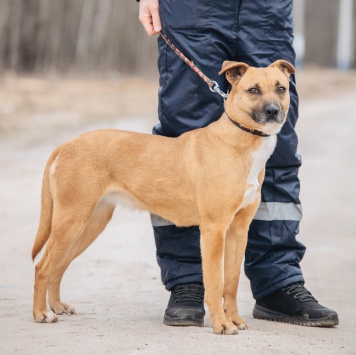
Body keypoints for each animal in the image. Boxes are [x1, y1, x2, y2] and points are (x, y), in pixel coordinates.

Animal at [32, 59, 294, 336]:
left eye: (281, 88)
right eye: (253, 90)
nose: (273, 111)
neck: (239, 143)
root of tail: (67, 144)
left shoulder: (238, 230)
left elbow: (231, 283)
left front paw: (234, 320)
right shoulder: (214, 230)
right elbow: (215, 283)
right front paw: (221, 324)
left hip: (88, 225)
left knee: (58, 267)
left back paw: (56, 305)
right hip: (71, 221)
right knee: (43, 267)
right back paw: (41, 313)